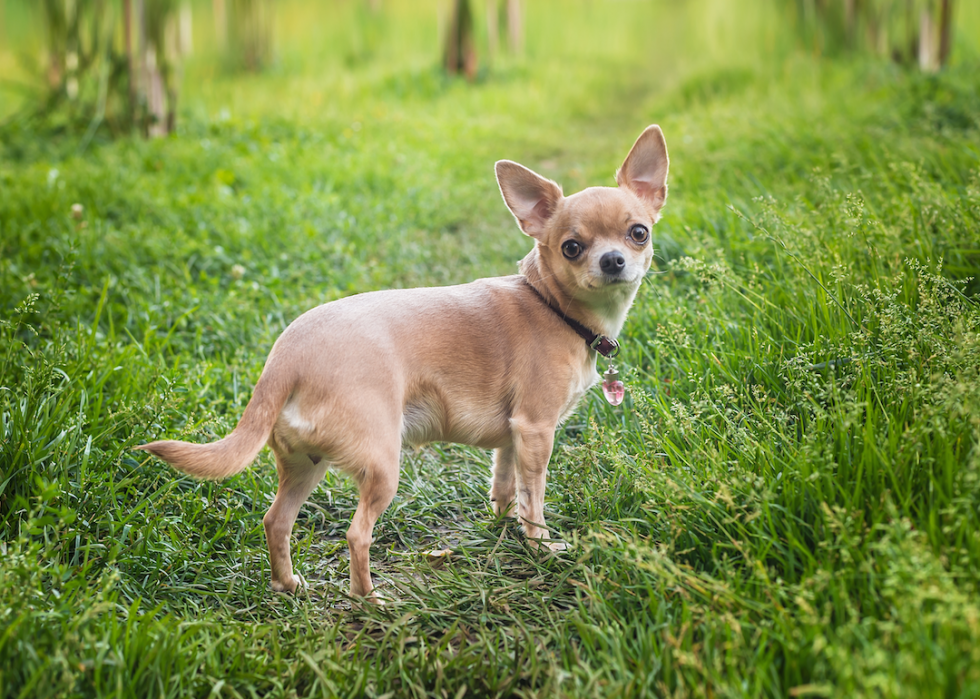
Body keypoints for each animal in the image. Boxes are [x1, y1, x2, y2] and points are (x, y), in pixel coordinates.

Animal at [138, 124, 668, 600]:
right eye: (572, 248)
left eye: (638, 233)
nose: (614, 260)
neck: (552, 304)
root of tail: (285, 356)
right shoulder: (537, 430)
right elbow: (533, 498)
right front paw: (540, 547)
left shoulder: (514, 435)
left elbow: (505, 483)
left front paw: (501, 526)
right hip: (381, 464)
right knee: (357, 534)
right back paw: (368, 599)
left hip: (304, 465)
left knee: (276, 520)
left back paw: (288, 584)